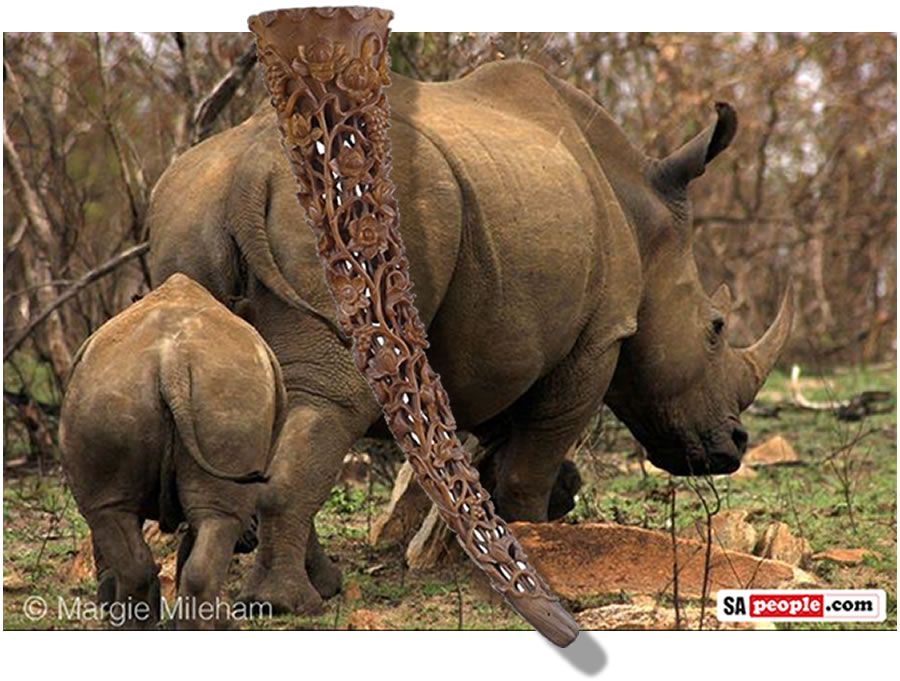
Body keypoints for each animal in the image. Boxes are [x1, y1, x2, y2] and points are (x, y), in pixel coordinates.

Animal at [59, 274, 286, 628]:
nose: (251, 540)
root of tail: (172, 364)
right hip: (220, 394)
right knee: (215, 520)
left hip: (117, 394)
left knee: (113, 515)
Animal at [147, 60, 792, 614]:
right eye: (715, 330)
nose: (734, 445)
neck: (645, 214)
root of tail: (249, 167)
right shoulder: (597, 337)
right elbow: (531, 461)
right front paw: (544, 549)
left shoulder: (502, 343)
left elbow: (504, 452)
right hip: (339, 223)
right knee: (335, 397)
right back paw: (292, 603)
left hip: (192, 210)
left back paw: (315, 585)